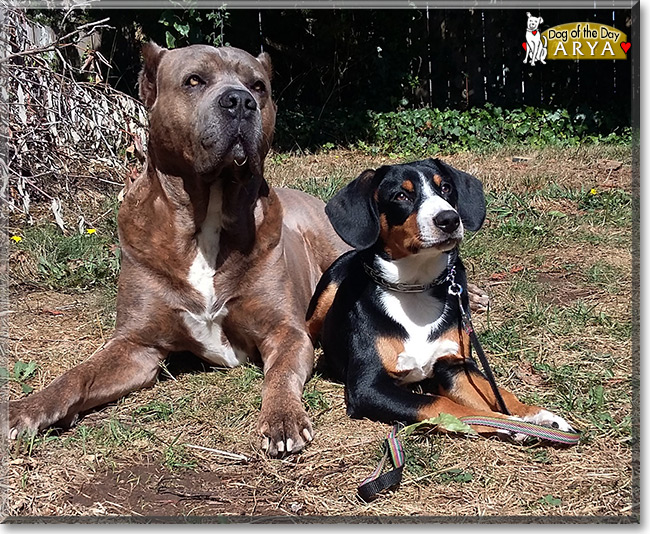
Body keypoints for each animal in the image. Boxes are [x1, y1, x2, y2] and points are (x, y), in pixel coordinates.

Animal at [306, 160, 572, 440]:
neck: (414, 287)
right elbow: (443, 404)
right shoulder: (368, 385)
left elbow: (496, 390)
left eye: (445, 187)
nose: (449, 219)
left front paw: (536, 416)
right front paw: (506, 423)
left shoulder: (455, 366)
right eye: (401, 196)